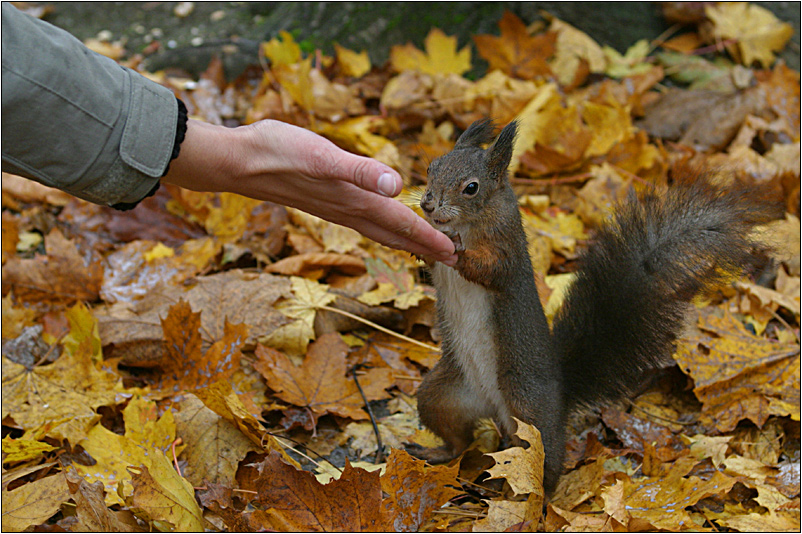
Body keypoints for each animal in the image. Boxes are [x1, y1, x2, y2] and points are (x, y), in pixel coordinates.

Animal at [412, 120, 776, 494]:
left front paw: (459, 249)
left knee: (544, 462)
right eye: (431, 168)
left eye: (471, 188)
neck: (470, 221)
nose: (428, 204)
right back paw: (439, 454)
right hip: (442, 396)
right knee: (457, 437)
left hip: (529, 408)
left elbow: (490, 269)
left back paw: (530, 498)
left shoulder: (507, 249)